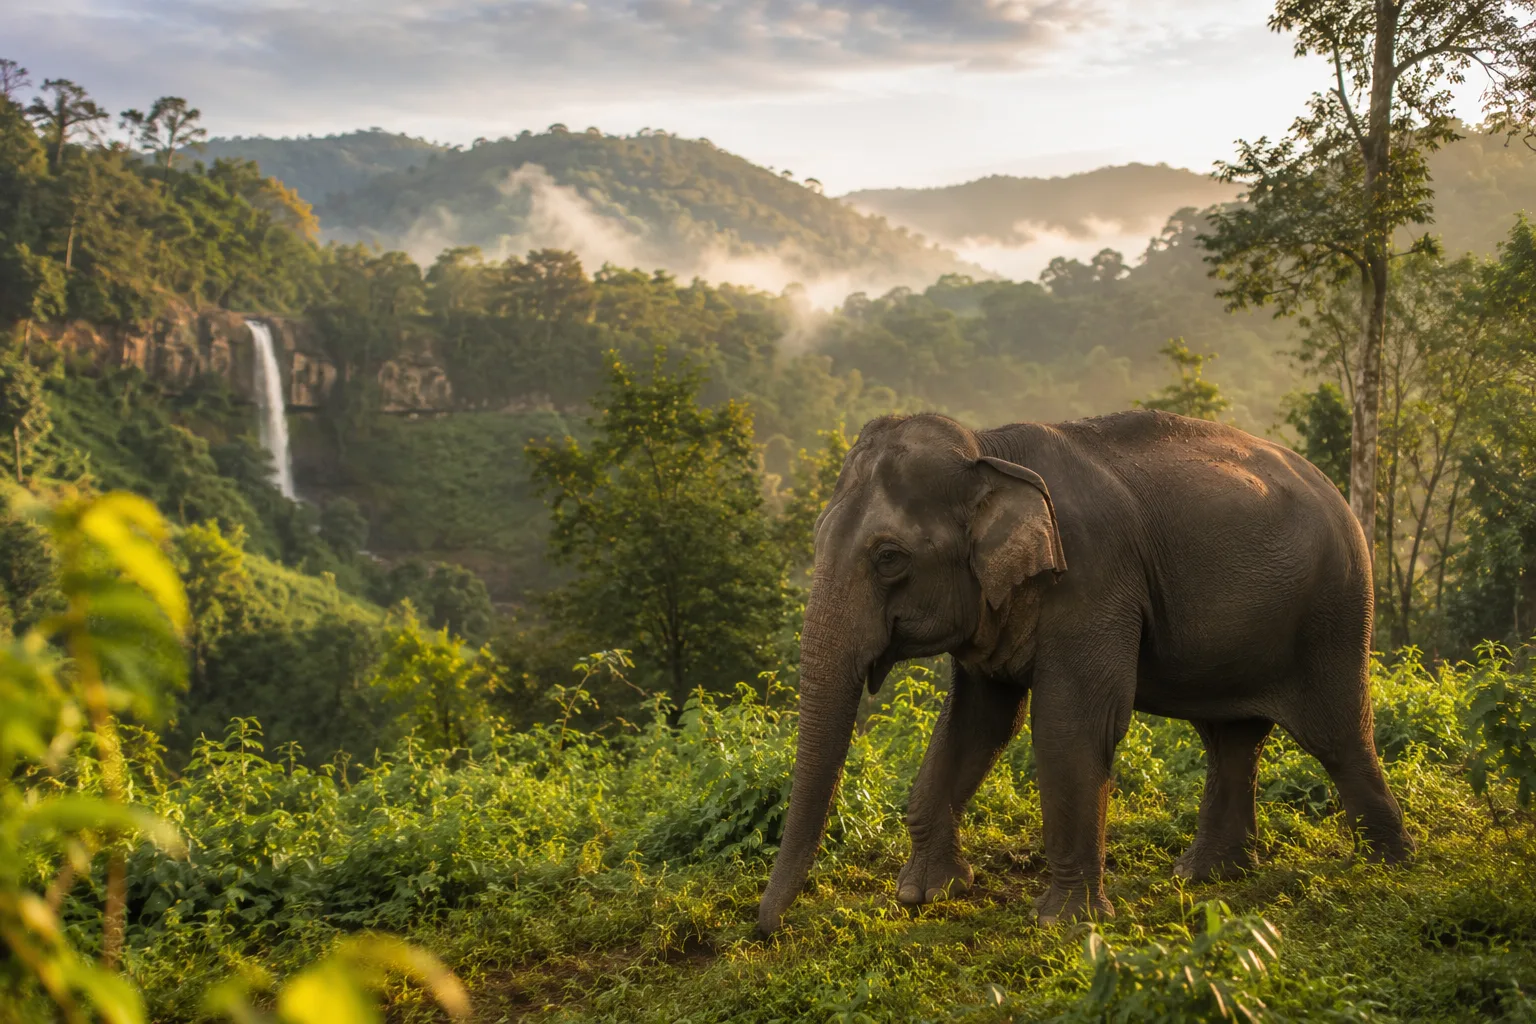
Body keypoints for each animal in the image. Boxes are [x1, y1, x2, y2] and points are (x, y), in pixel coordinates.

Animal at [756, 410, 1414, 934]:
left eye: (889, 558)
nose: (764, 929)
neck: (987, 449)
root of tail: (1337, 493)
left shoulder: (1093, 580)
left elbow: (1071, 724)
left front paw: (1064, 923)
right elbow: (978, 722)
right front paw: (926, 893)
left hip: (1334, 610)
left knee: (1336, 734)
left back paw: (1387, 865)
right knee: (1230, 739)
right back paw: (1205, 875)